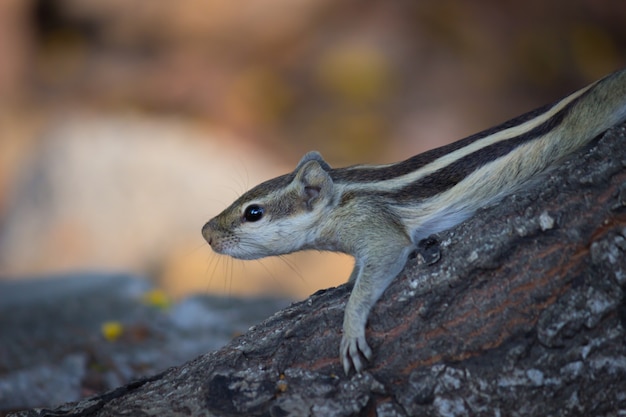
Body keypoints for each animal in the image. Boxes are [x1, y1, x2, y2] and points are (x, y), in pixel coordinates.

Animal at [201, 68, 624, 374]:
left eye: (253, 213)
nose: (205, 233)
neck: (342, 195)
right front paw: (348, 280)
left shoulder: (375, 228)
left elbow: (380, 266)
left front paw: (350, 328)